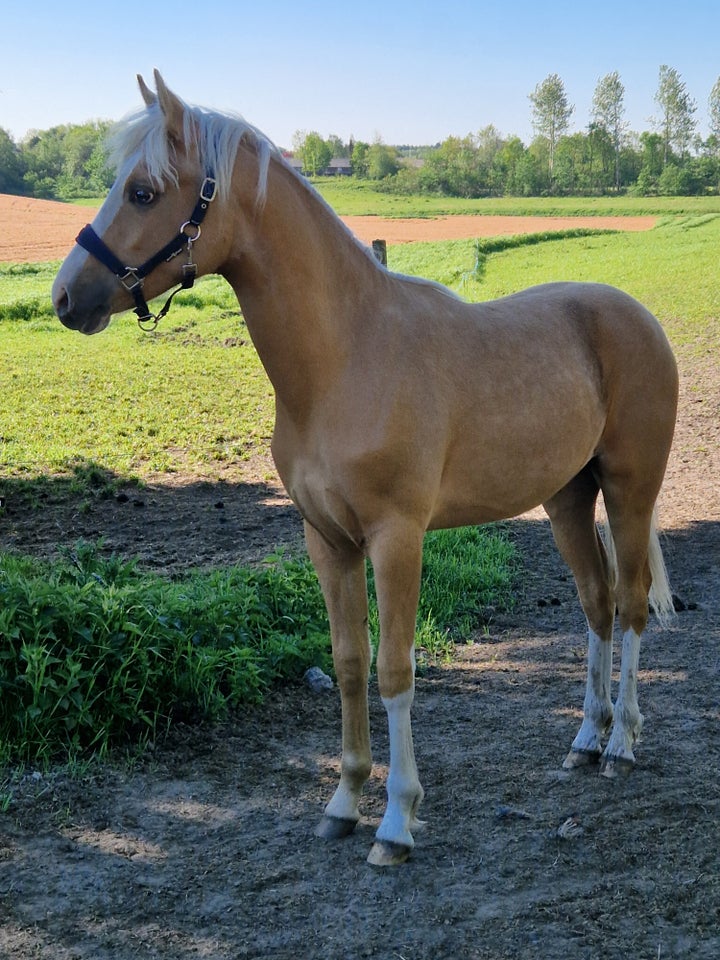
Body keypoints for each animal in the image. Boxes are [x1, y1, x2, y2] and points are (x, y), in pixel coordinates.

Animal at [53, 73, 676, 872]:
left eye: (142, 191)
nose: (66, 297)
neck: (345, 357)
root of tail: (638, 317)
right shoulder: (329, 542)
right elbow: (349, 664)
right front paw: (343, 804)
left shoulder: (395, 539)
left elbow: (395, 671)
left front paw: (396, 823)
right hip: (568, 499)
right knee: (596, 604)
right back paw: (585, 741)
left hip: (630, 491)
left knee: (629, 606)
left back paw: (622, 742)